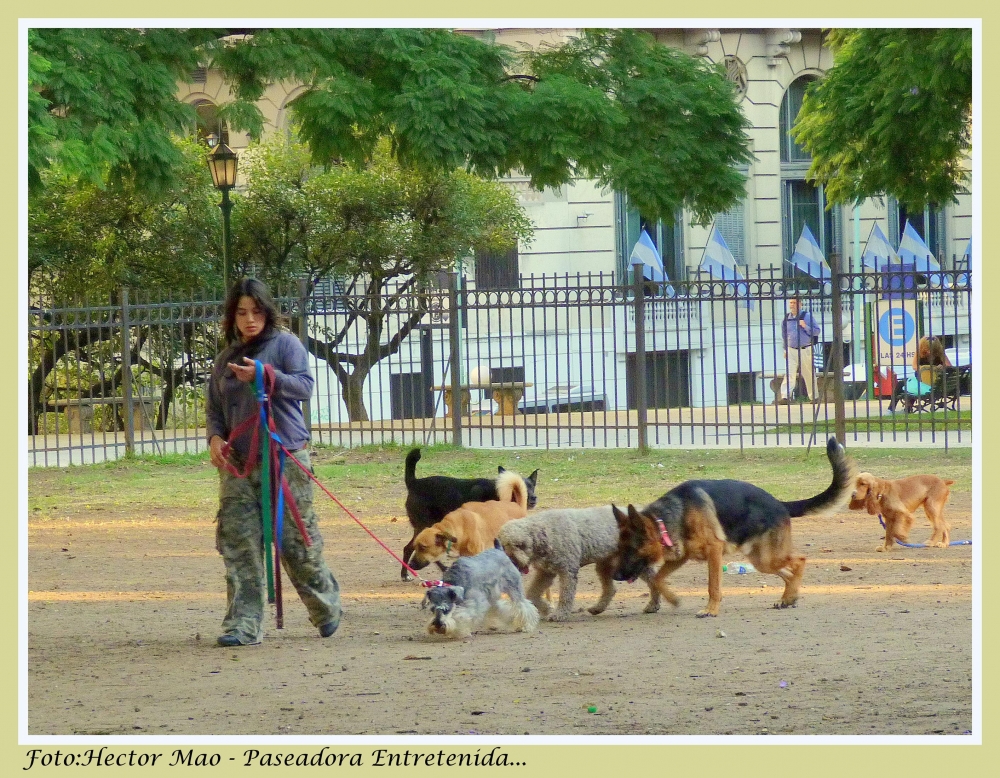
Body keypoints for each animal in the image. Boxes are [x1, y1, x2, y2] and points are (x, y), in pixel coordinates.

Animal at [400, 446, 540, 580]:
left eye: (532, 486)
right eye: (525, 488)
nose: (534, 498)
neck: (495, 491)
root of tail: (414, 482)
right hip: (424, 525)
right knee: (409, 548)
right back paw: (407, 574)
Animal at [498, 506, 656, 620]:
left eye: (520, 545)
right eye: (505, 545)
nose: (512, 561)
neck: (548, 533)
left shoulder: (567, 571)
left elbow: (565, 596)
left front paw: (559, 614)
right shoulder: (546, 573)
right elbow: (532, 593)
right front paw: (546, 608)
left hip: (635, 563)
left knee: (653, 580)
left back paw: (653, 605)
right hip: (604, 564)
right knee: (610, 589)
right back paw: (598, 608)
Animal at [612, 436, 856, 612]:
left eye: (630, 549)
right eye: (619, 548)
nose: (616, 576)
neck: (669, 517)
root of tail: (780, 503)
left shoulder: (714, 551)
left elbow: (713, 586)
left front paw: (710, 610)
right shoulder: (682, 557)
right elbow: (658, 579)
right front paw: (671, 599)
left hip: (768, 557)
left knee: (799, 561)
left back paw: (791, 595)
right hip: (761, 560)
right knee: (787, 572)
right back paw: (788, 598)